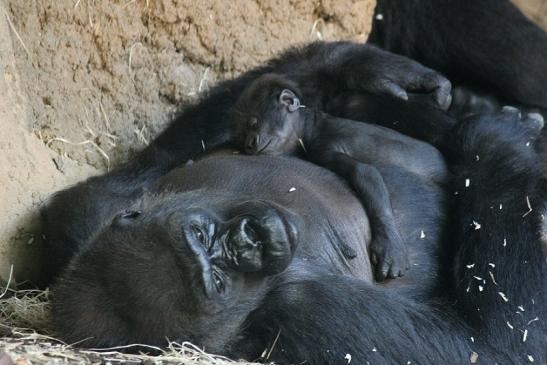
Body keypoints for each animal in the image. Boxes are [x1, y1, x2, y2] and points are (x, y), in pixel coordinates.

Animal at [231, 73, 450, 278]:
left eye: (254, 122)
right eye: (242, 135)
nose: (249, 144)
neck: (310, 125)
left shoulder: (322, 147)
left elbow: (364, 173)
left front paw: (389, 245)